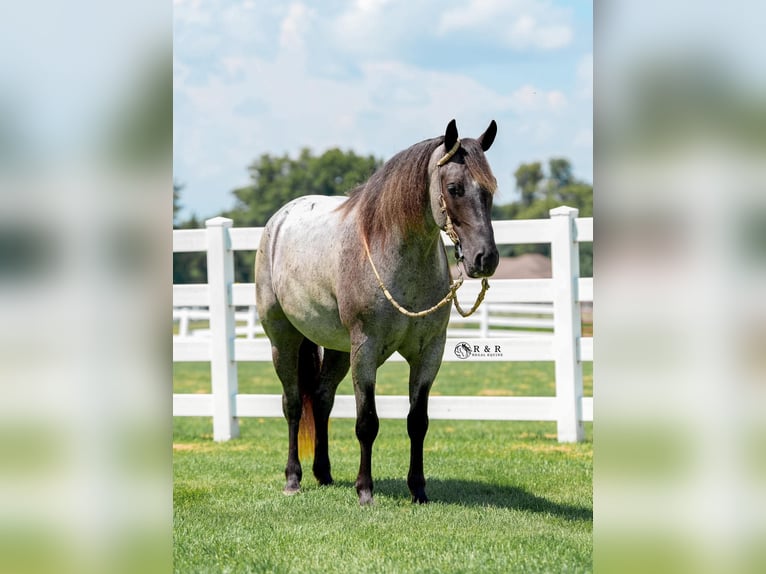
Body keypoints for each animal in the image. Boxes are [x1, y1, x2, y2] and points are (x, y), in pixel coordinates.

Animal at [254, 119, 499, 505]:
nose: (484, 258)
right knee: (293, 404)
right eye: (454, 187)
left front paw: (418, 489)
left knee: (321, 400)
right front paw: (365, 490)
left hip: (339, 350)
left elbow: (418, 422)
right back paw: (293, 478)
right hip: (285, 341)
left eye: (489, 188)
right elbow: (367, 422)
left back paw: (323, 473)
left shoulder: (429, 352)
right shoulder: (366, 351)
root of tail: (279, 220)